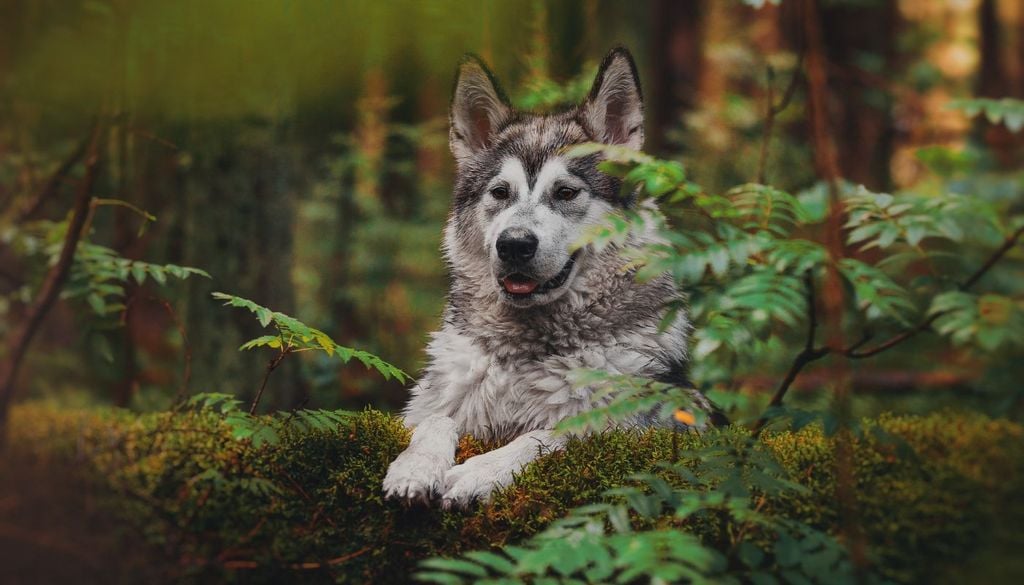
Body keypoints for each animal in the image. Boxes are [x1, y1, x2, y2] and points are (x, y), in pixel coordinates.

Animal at [382, 47, 716, 509]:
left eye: (566, 192)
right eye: (500, 192)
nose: (514, 244)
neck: (525, 355)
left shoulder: (641, 426)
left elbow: (550, 434)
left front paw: (479, 473)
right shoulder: (436, 406)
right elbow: (435, 421)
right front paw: (414, 469)